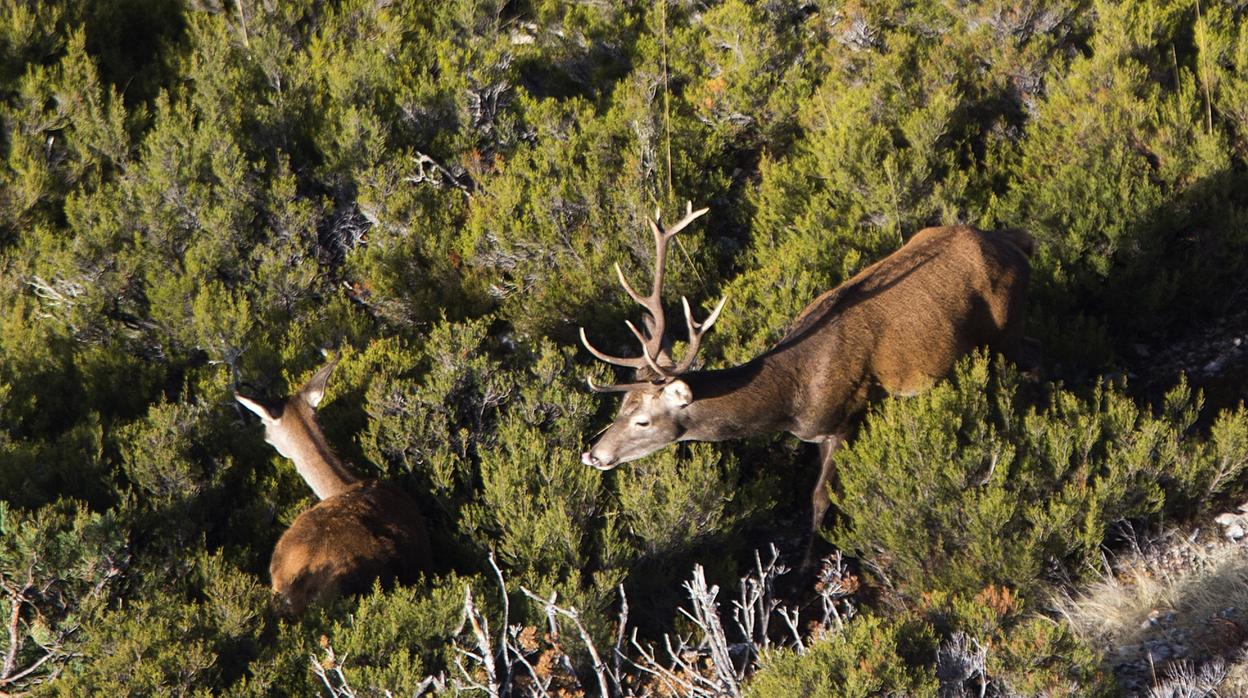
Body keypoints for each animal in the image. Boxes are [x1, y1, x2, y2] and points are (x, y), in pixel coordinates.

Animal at [579, 201, 1028, 561]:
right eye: (621, 408)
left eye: (643, 421)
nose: (593, 456)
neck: (791, 399)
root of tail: (1017, 243)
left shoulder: (843, 419)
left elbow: (820, 499)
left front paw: (809, 565)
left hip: (1007, 330)